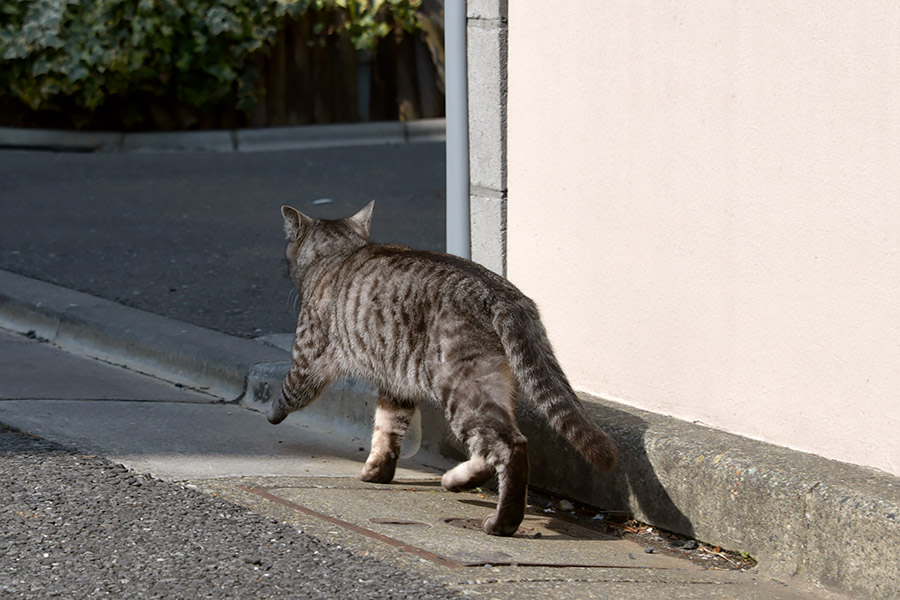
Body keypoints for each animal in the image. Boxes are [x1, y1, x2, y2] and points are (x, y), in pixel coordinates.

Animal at [268, 202, 620, 536]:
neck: (338, 255)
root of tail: (502, 294)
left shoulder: (307, 360)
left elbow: (288, 391)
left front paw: (271, 413)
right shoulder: (396, 387)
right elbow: (386, 431)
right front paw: (377, 471)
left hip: (461, 389)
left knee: (511, 446)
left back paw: (502, 523)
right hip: (490, 385)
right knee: (490, 450)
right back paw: (456, 480)